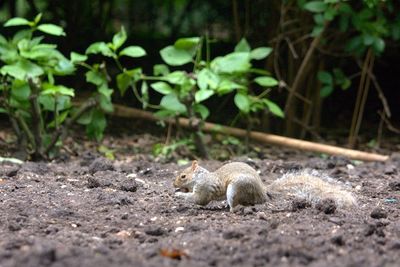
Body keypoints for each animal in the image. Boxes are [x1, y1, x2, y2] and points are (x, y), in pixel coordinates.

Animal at [173, 160, 358, 213]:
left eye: (183, 176)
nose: (173, 183)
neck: (200, 177)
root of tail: (263, 192)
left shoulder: (204, 188)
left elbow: (198, 200)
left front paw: (178, 195)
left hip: (236, 188)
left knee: (238, 205)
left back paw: (232, 209)